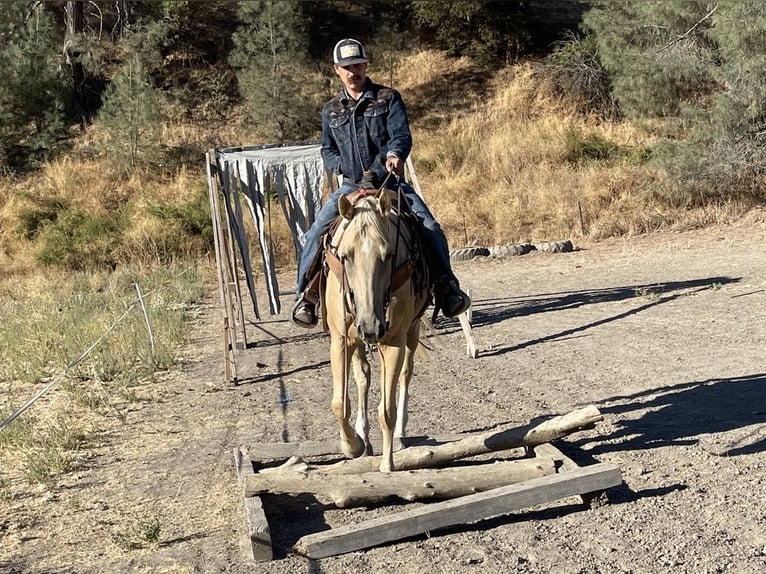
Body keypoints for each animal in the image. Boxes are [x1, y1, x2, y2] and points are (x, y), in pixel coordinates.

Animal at [320, 188, 432, 472]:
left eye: (388, 255)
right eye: (346, 256)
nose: (371, 327)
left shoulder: (393, 343)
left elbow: (387, 410)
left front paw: (387, 464)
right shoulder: (340, 340)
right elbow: (339, 404)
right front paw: (353, 445)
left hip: (411, 332)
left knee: (405, 375)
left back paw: (400, 434)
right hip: (357, 340)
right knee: (363, 377)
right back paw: (363, 435)